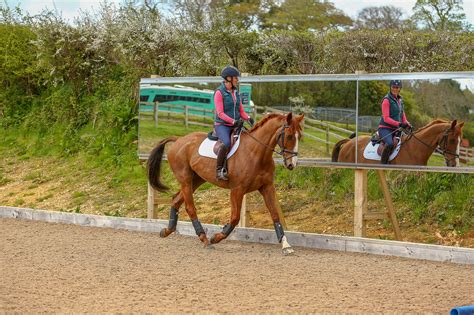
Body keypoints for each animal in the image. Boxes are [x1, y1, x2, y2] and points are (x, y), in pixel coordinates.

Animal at [148, 112, 304, 256]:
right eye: (289, 136)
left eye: (300, 137)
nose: (292, 164)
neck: (257, 153)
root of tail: (179, 139)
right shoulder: (237, 190)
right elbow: (235, 218)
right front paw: (216, 237)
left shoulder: (267, 187)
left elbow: (275, 215)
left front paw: (286, 245)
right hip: (185, 179)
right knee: (190, 207)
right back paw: (205, 239)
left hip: (197, 180)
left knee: (176, 200)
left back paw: (167, 231)